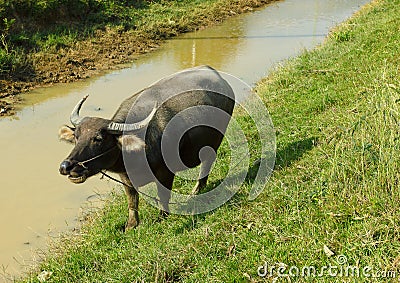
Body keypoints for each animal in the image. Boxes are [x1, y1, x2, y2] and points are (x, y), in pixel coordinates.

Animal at [58, 65, 234, 230]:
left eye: (99, 138)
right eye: (76, 137)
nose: (66, 166)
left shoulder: (165, 173)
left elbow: (163, 196)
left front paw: (162, 216)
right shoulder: (126, 179)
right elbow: (132, 201)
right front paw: (131, 225)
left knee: (207, 162)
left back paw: (196, 190)